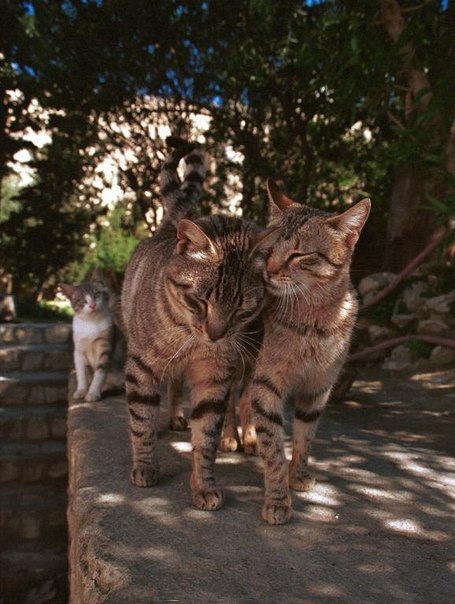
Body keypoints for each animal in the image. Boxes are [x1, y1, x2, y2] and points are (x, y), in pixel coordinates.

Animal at [60, 268, 115, 402]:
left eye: (96, 294)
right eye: (82, 300)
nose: (92, 305)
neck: (91, 322)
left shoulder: (106, 346)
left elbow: (100, 372)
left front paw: (93, 392)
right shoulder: (78, 350)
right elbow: (81, 372)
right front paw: (81, 390)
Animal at [121, 140, 278, 511]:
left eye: (242, 308)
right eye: (201, 300)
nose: (216, 334)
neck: (190, 339)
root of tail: (171, 224)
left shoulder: (215, 377)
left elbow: (206, 436)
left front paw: (203, 485)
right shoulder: (141, 367)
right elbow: (141, 421)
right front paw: (145, 465)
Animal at [248, 179, 370, 524]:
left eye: (299, 254)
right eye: (268, 249)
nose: (269, 269)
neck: (314, 324)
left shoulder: (319, 386)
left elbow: (305, 437)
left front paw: (298, 475)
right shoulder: (266, 385)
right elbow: (274, 448)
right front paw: (278, 498)